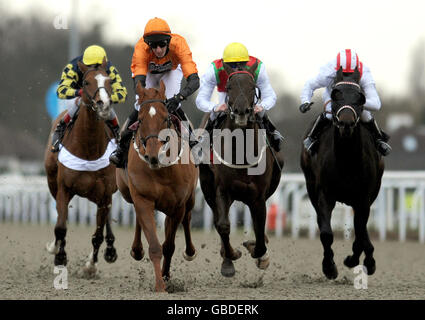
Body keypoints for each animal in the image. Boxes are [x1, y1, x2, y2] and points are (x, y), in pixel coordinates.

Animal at [44, 59, 117, 276]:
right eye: (85, 82)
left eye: (109, 81)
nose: (103, 104)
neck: (88, 148)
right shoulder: (64, 188)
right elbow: (60, 226)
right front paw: (59, 256)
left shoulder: (104, 194)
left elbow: (98, 234)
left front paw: (90, 266)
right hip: (53, 182)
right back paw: (54, 247)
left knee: (106, 220)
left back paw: (111, 250)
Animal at [117, 80, 198, 292]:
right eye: (140, 119)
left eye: (165, 118)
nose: (153, 156)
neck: (162, 170)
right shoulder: (143, 199)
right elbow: (155, 246)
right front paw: (160, 285)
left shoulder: (178, 205)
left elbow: (169, 246)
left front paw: (166, 277)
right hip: (127, 192)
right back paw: (137, 250)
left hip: (190, 199)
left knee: (187, 218)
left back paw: (190, 252)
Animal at [298, 67, 384, 278]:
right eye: (336, 95)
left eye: (360, 98)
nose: (346, 124)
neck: (347, 161)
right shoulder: (325, 194)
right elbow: (326, 233)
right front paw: (329, 267)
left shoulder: (363, 197)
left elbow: (360, 232)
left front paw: (359, 260)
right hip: (311, 187)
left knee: (361, 228)